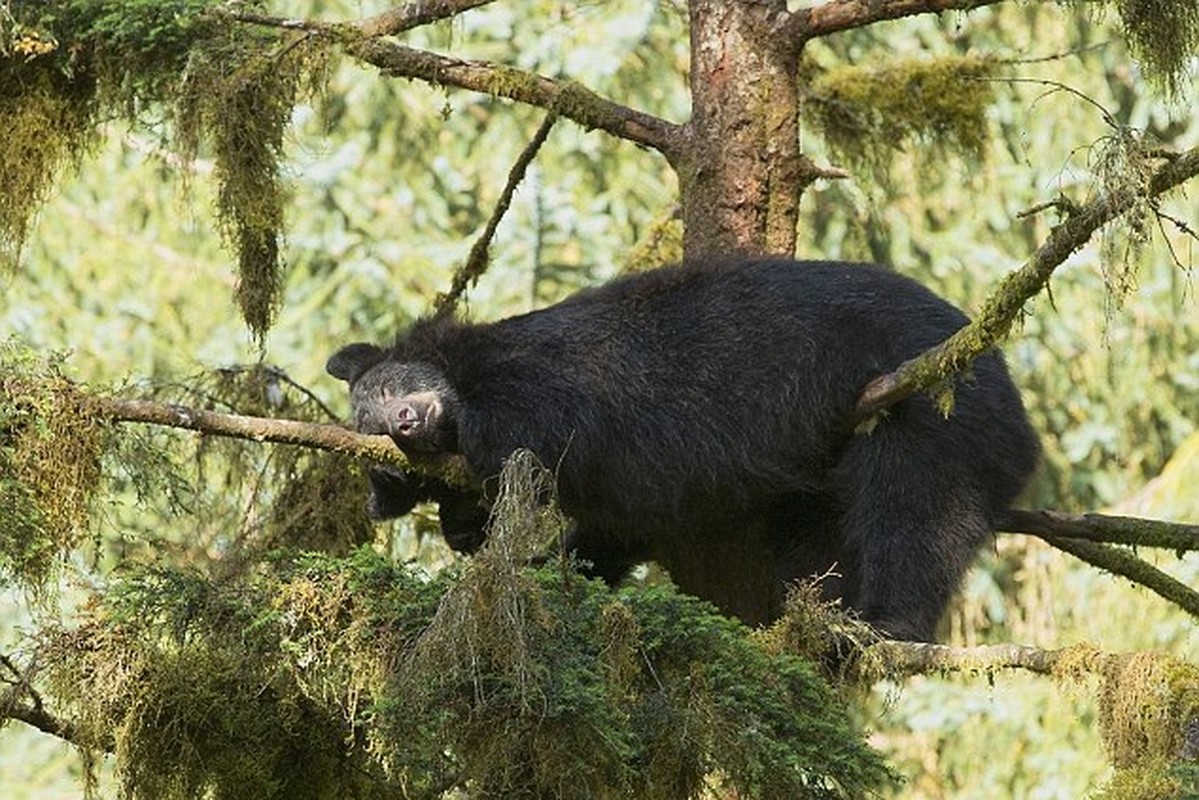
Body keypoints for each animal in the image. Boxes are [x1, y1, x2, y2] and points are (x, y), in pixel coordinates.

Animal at [328, 260, 1040, 642]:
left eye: (386, 393)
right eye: (374, 436)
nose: (406, 422)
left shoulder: (547, 391)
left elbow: (543, 445)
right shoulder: (628, 490)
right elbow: (616, 529)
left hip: (930, 401)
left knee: (915, 506)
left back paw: (886, 624)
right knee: (818, 544)